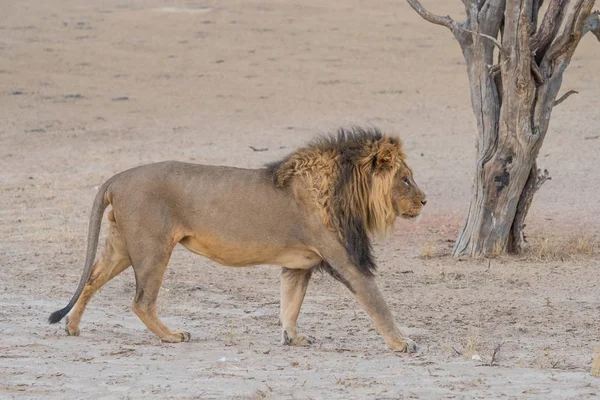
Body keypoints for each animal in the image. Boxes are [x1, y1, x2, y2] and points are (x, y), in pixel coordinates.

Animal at [49, 126, 428, 352]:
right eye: (406, 179)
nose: (425, 200)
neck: (347, 190)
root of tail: (117, 177)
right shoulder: (347, 260)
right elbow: (377, 302)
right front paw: (401, 342)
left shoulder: (298, 265)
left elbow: (291, 303)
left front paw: (293, 337)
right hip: (152, 248)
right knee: (141, 301)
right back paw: (172, 335)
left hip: (123, 247)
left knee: (90, 280)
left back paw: (72, 326)